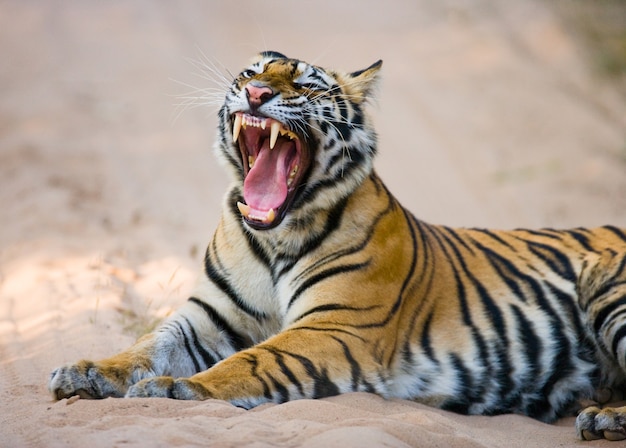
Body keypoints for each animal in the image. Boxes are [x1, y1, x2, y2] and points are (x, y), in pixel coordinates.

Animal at [47, 52, 624, 440]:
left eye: (302, 82)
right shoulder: (208, 317)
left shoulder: (334, 326)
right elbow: (148, 344)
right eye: (251, 73)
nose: (256, 94)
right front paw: (88, 371)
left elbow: (252, 361)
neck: (274, 237)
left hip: (609, 291)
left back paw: (604, 417)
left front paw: (177, 389)